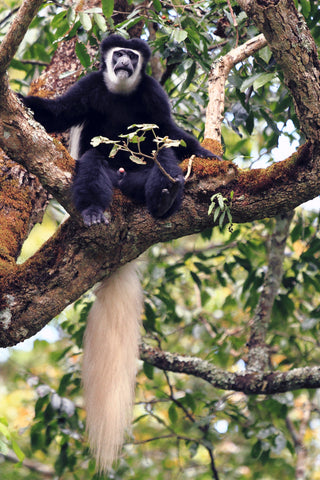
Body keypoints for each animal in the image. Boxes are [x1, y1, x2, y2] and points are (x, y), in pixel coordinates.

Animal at [20, 35, 219, 470]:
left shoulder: (153, 94)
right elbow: (57, 115)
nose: (125, 60)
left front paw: (210, 158)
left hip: (140, 178)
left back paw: (163, 198)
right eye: (117, 54)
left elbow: (172, 135)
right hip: (106, 175)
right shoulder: (90, 86)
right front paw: (23, 101)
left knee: (163, 158)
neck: (122, 92)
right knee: (94, 164)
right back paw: (95, 211)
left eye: (132, 55)